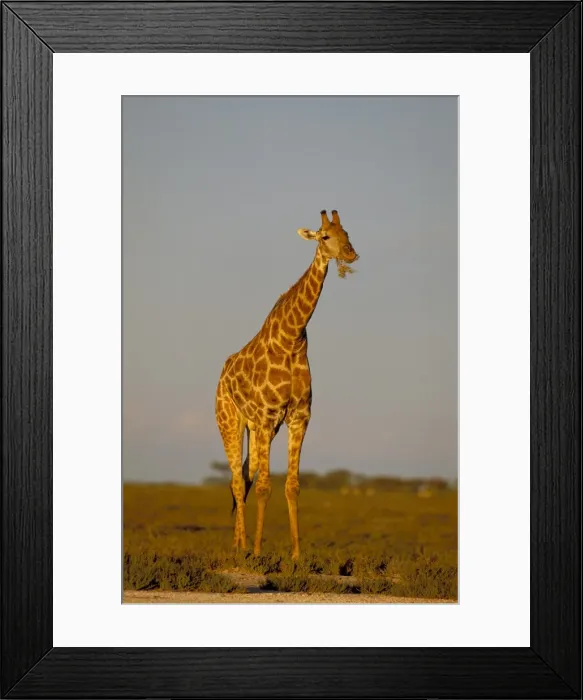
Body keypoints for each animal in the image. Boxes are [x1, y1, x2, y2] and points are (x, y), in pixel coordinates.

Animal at [215, 209, 359, 560]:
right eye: (325, 236)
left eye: (347, 233)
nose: (351, 254)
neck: (291, 339)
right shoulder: (268, 417)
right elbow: (265, 486)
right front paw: (257, 552)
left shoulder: (299, 416)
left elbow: (291, 485)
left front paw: (296, 555)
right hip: (231, 420)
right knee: (237, 481)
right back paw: (241, 549)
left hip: (255, 429)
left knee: (243, 477)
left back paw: (238, 544)